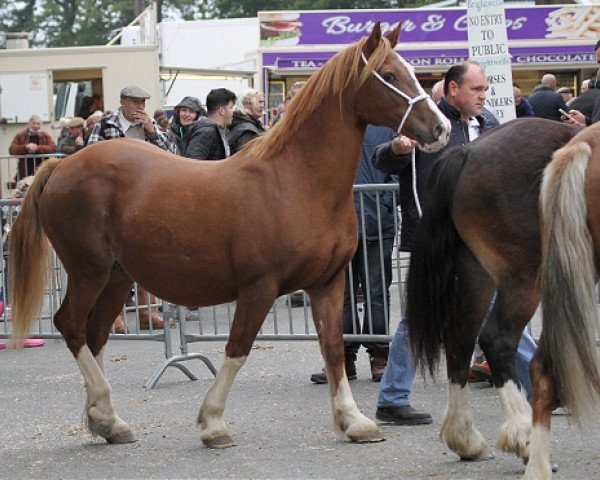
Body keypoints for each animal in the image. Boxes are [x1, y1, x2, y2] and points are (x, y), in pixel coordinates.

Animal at [7, 24, 450, 448]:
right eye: (389, 75)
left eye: (412, 71)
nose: (441, 128)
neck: (297, 182)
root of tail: (58, 167)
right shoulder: (259, 288)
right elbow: (238, 350)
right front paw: (213, 423)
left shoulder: (327, 283)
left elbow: (333, 349)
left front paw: (354, 421)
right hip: (88, 271)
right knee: (70, 325)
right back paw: (103, 412)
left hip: (116, 276)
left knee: (95, 333)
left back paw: (107, 422)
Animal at [404, 118, 580, 474]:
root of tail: (468, 153)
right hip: (523, 278)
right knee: (497, 340)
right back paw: (525, 438)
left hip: (477, 276)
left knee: (460, 339)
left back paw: (465, 438)